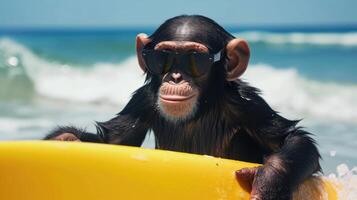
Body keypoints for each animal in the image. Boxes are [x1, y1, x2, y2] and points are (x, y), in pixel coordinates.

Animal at [44, 14, 320, 199]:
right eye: (163, 57)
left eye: (195, 59)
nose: (176, 77)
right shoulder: (142, 100)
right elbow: (113, 142)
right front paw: (66, 139)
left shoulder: (246, 103)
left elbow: (289, 138)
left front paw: (269, 180)